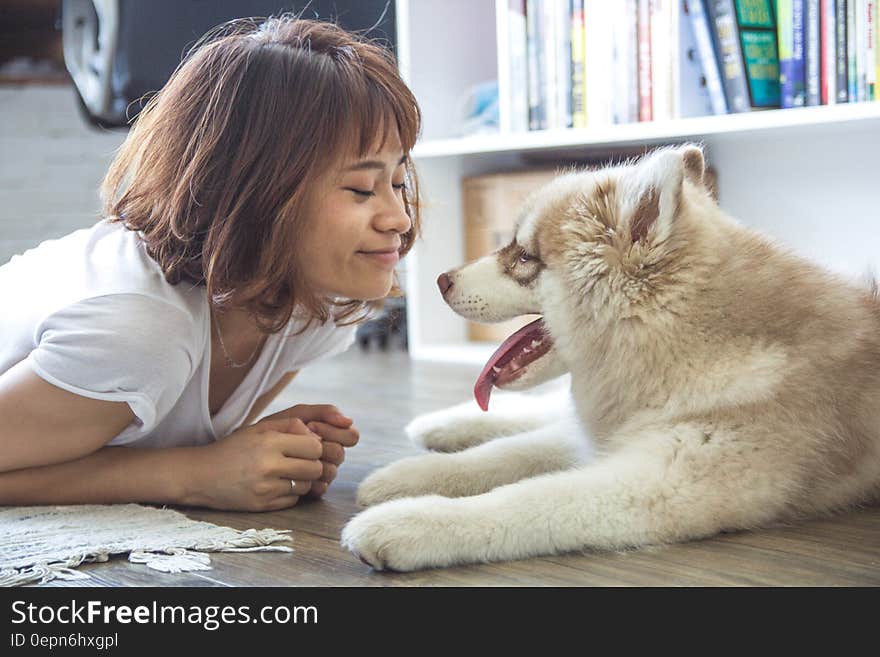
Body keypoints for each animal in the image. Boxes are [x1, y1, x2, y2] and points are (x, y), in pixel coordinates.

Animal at [338, 144, 880, 568]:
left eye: (524, 257)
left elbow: (527, 498)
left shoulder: (660, 481)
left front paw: (410, 522)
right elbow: (500, 455)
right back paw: (440, 425)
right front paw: (405, 477)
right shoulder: (612, 435)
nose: (439, 280)